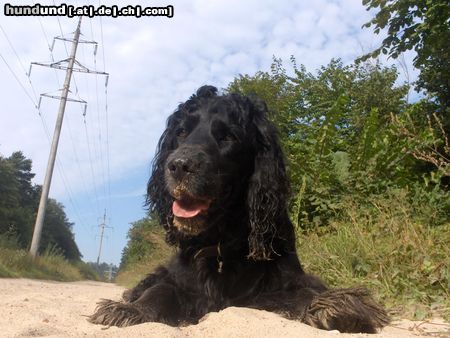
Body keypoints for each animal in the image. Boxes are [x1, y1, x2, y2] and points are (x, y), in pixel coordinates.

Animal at [89, 85, 388, 332]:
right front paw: (130, 310)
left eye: (228, 137)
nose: (178, 165)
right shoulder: (181, 280)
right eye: (181, 132)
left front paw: (337, 304)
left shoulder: (275, 285)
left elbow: (303, 291)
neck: (221, 246)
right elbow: (161, 290)